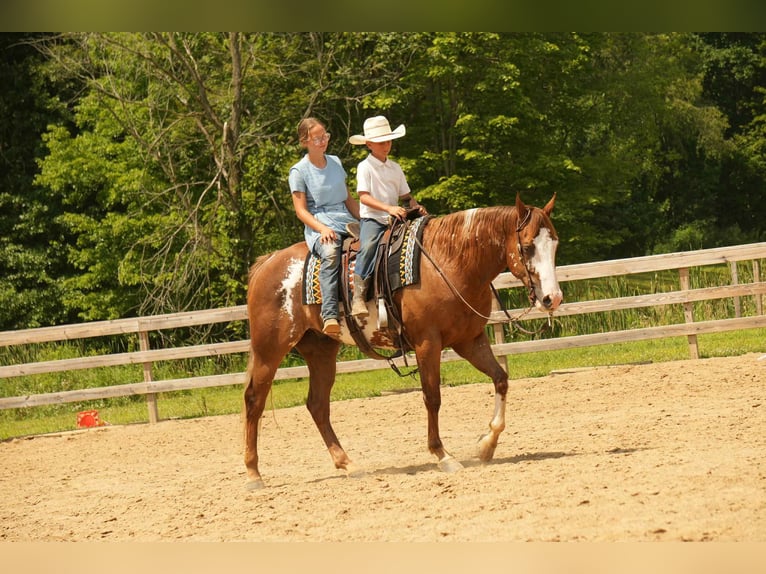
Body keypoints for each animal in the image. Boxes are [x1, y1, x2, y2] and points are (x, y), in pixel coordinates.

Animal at [243, 193, 562, 490]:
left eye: (554, 245)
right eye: (528, 246)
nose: (552, 298)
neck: (450, 261)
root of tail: (267, 263)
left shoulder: (469, 340)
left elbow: (501, 379)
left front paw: (487, 445)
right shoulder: (427, 343)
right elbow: (432, 397)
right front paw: (443, 455)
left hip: (320, 351)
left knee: (317, 405)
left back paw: (347, 464)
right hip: (269, 349)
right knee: (254, 400)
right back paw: (253, 474)